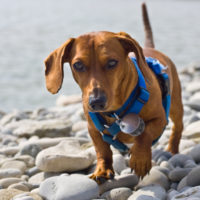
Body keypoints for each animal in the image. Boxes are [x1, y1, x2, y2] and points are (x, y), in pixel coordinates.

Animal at [44, 3, 184, 182]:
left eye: (112, 62)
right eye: (78, 65)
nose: (96, 102)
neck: (116, 112)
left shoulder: (160, 119)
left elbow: (144, 134)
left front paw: (140, 159)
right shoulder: (93, 129)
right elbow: (102, 150)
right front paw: (103, 169)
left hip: (175, 106)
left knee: (178, 127)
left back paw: (172, 148)